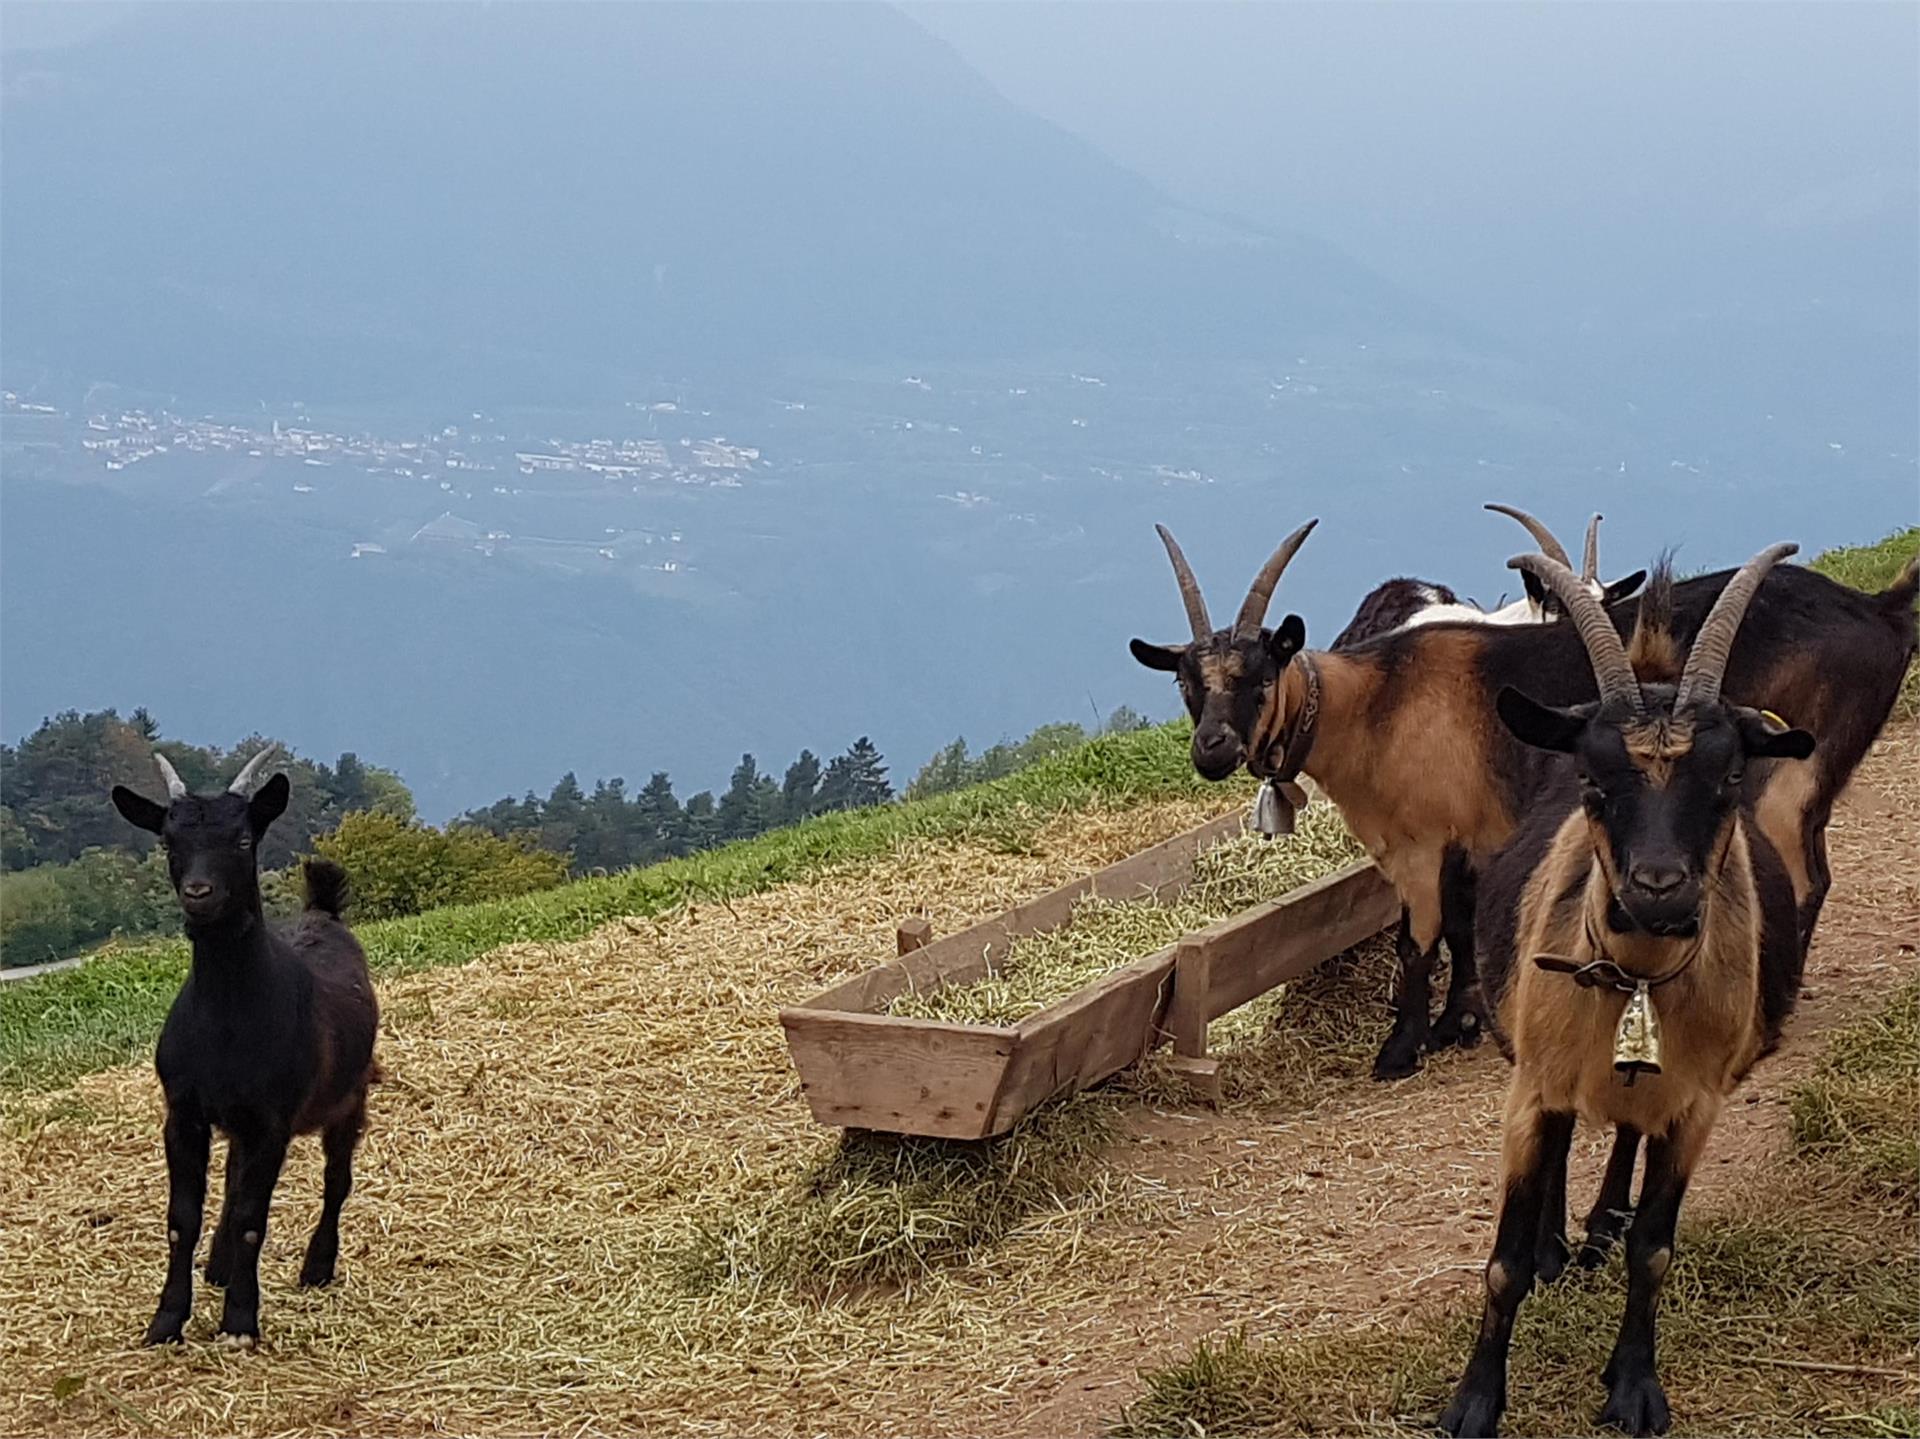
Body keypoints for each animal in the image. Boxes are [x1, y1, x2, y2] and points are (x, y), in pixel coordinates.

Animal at [112, 745, 378, 1344]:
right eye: (169, 841)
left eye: (242, 840)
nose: (199, 894)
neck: (228, 1023)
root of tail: (322, 913)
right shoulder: (184, 1113)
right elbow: (182, 1219)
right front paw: (167, 1320)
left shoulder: (272, 1121)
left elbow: (254, 1218)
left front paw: (239, 1322)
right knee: (233, 1184)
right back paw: (218, 1264)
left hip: (349, 1098)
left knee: (336, 1179)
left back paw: (316, 1265)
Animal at [1128, 518, 1912, 1075]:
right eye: (1187, 683)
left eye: (1261, 675)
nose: (1212, 749)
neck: (1377, 701)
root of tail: (1881, 611)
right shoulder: (1466, 834)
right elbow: (1460, 928)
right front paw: (1458, 1025)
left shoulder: (1417, 845)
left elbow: (1418, 941)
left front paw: (1400, 1051)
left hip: (1789, 778)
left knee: (1806, 878)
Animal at [1443, 545, 1820, 1429]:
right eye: (1594, 777)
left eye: (1728, 777)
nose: (1659, 888)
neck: (1637, 982)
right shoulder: (1531, 1090)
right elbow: (1503, 1261)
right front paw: (1474, 1401)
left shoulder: (1696, 1107)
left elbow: (1654, 1249)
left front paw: (1633, 1385)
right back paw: (1558, 1243)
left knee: (1622, 1134)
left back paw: (1600, 1221)